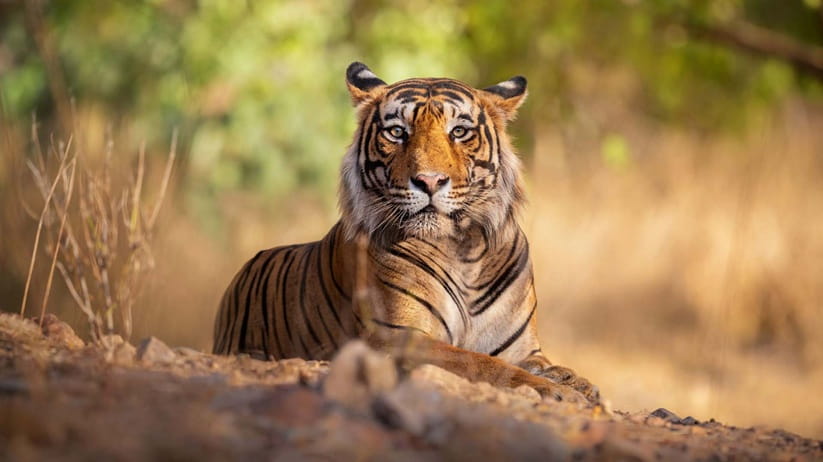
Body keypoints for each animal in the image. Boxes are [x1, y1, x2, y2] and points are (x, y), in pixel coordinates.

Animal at [213, 62, 599, 403]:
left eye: (459, 132)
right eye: (397, 132)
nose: (429, 181)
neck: (464, 251)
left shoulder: (520, 347)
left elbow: (543, 365)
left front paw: (576, 383)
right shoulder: (398, 338)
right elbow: (480, 363)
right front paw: (554, 391)